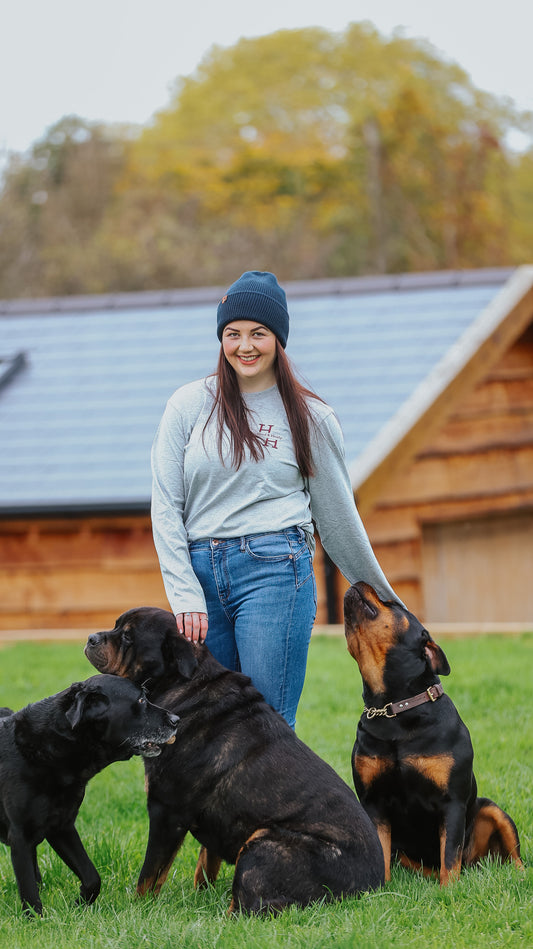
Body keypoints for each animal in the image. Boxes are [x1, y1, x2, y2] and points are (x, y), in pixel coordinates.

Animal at [0, 672, 179, 912]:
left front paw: (79, 904)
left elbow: (92, 876)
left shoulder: (62, 826)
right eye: (141, 700)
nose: (177, 719)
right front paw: (36, 918)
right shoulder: (20, 835)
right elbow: (29, 894)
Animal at [83, 608, 384, 912]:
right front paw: (200, 893)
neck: (182, 687)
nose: (91, 638)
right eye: (116, 626)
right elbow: (205, 862)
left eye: (127, 637)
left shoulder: (166, 812)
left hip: (263, 843)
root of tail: (370, 887)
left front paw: (139, 907)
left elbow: (150, 875)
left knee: (247, 907)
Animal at [342, 580, 520, 884]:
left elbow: (449, 853)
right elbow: (380, 848)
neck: (395, 707)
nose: (361, 581)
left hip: (491, 809)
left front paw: (449, 889)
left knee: (512, 854)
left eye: (393, 603)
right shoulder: (374, 802)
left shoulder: (452, 803)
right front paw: (382, 888)